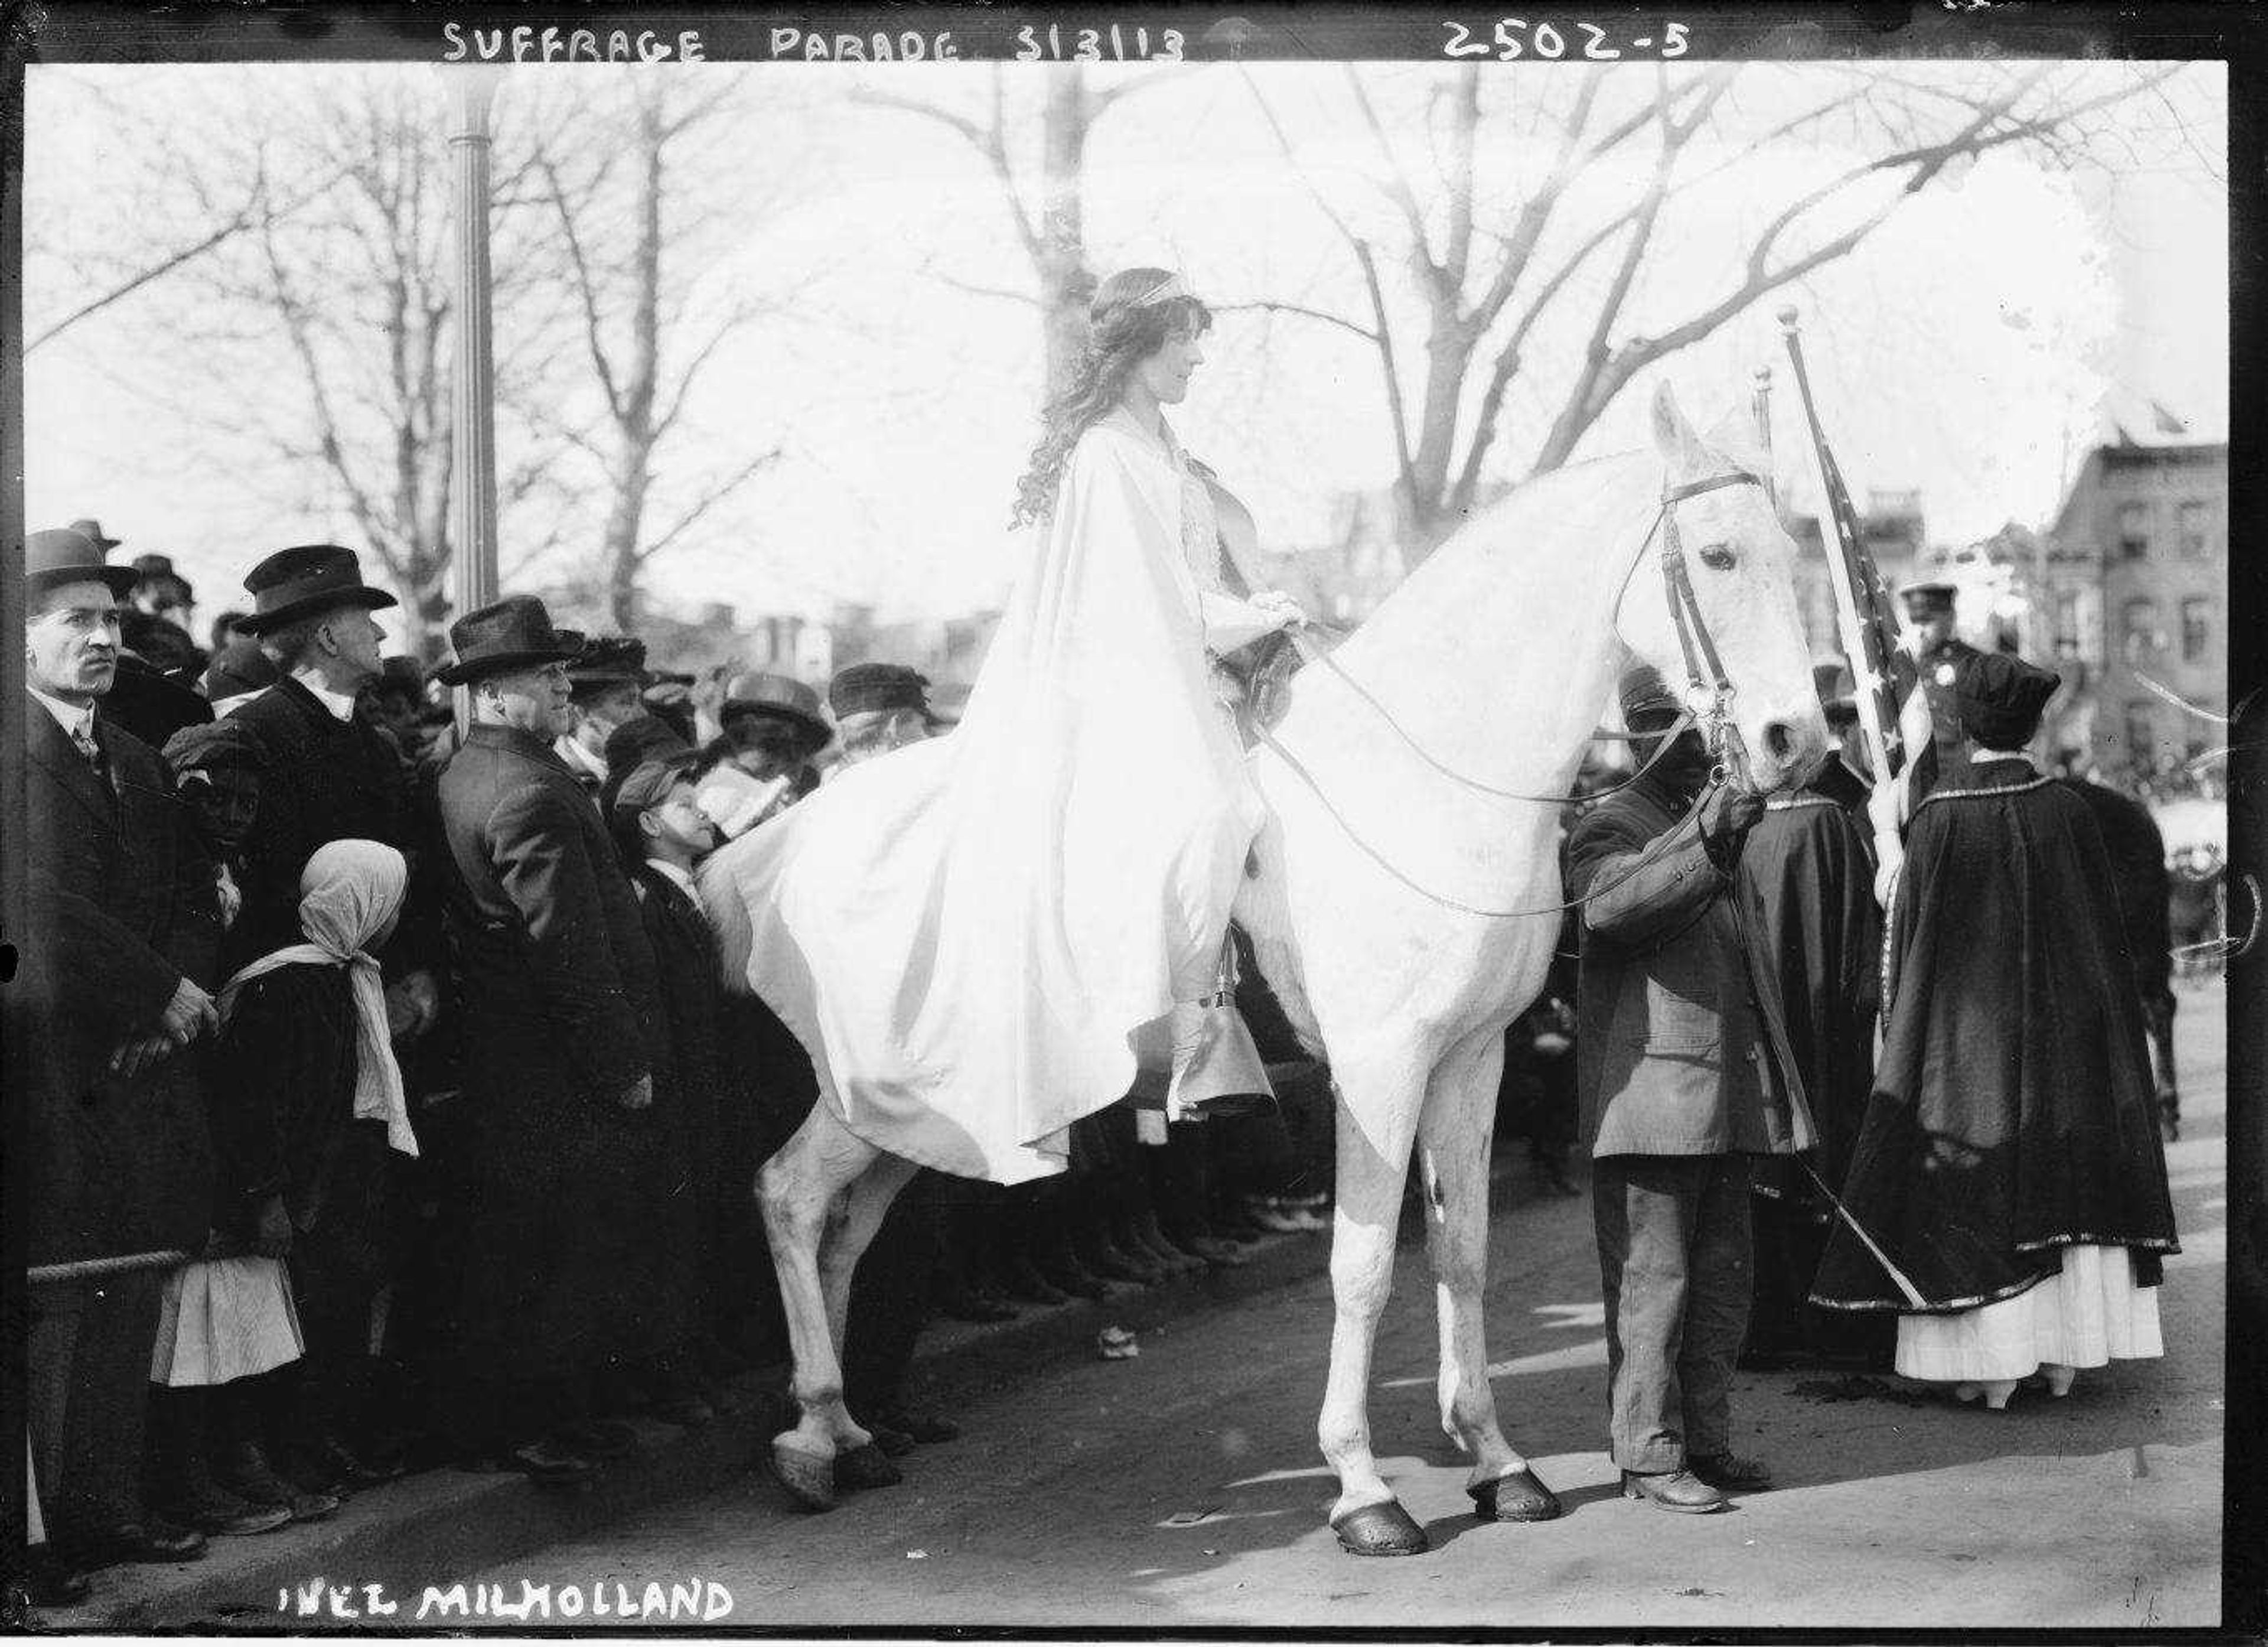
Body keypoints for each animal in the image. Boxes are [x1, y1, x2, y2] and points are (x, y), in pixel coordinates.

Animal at [698, 381, 1832, 1551]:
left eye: (1791, 550)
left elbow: (1463, 1250)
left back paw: (847, 1430)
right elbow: (1365, 1265)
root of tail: (781, 840)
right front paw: (1366, 1489)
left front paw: (1498, 1461)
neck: (1421, 782)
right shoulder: (1379, 1068)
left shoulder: (1469, 1058)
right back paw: (810, 1439)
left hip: (924, 1110)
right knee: (789, 1197)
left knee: (848, 1226)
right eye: (1718, 554)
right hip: (878, 1090)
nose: (1796, 740)